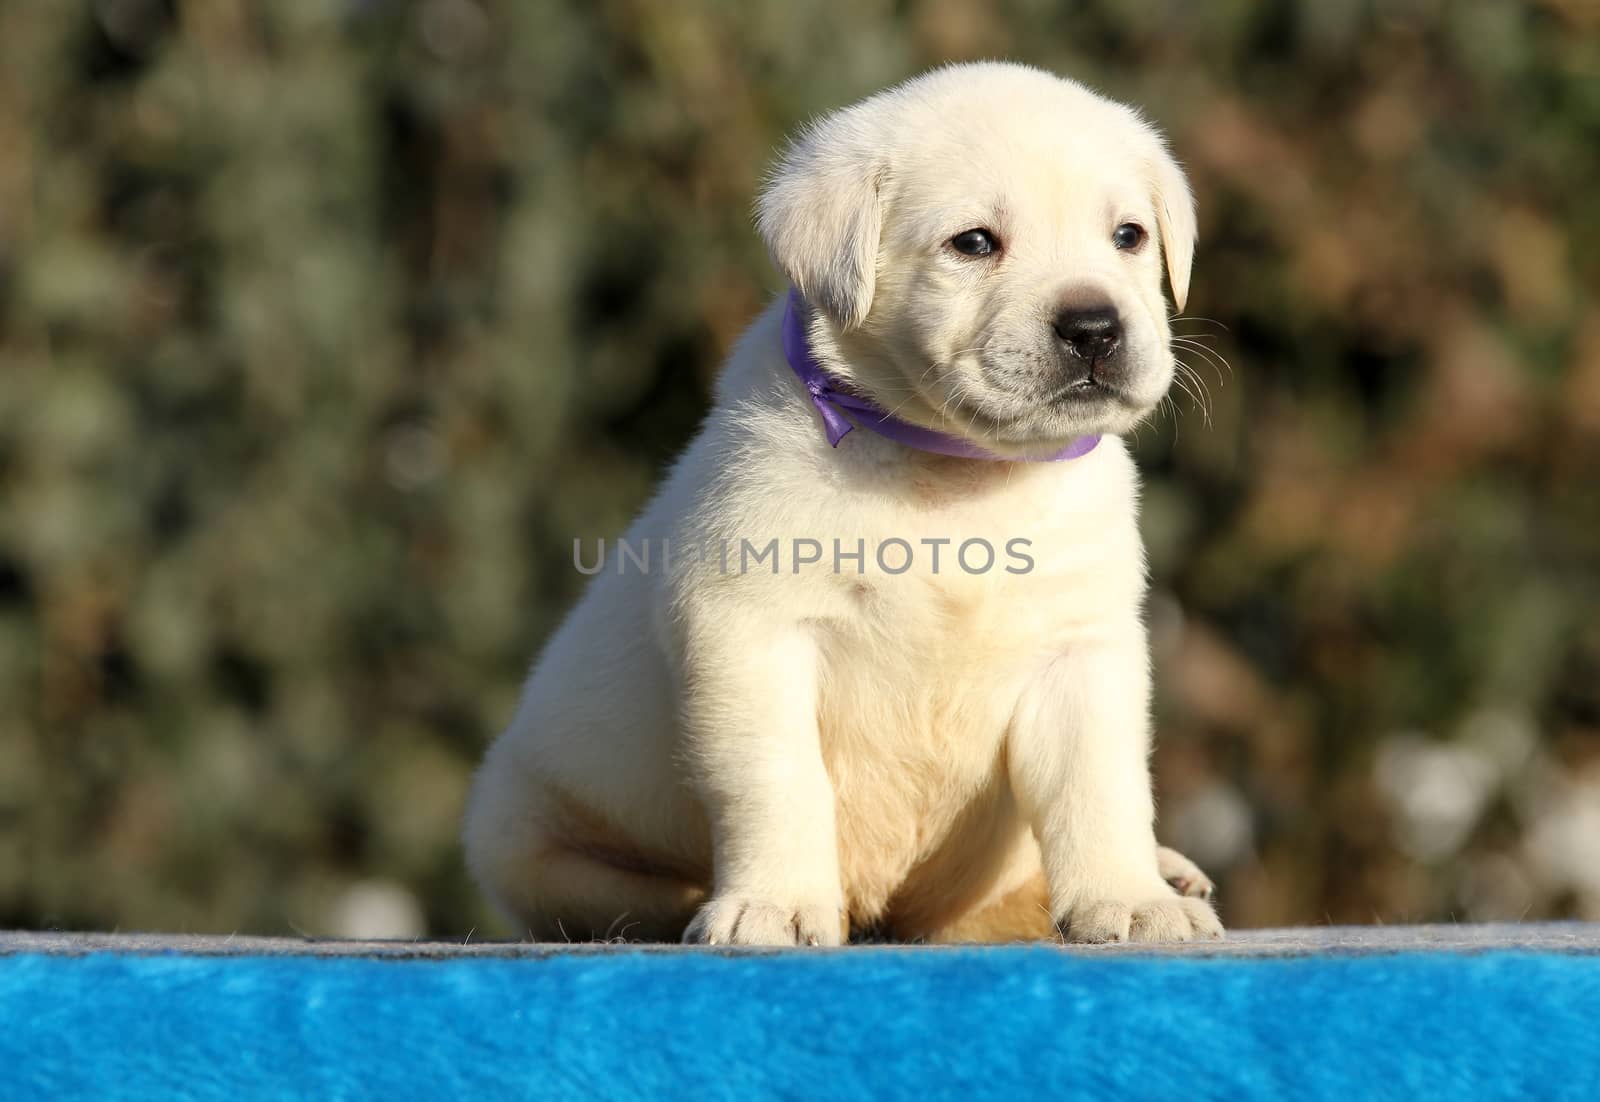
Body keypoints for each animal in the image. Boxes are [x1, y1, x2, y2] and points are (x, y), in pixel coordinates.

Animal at [467, 59, 1216, 940]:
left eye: (1128, 236)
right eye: (973, 243)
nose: (1095, 327)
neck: (958, 475)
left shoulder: (1081, 650)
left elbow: (1099, 788)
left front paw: (1128, 898)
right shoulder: (750, 631)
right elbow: (775, 780)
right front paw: (777, 905)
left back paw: (1159, 876)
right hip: (518, 826)